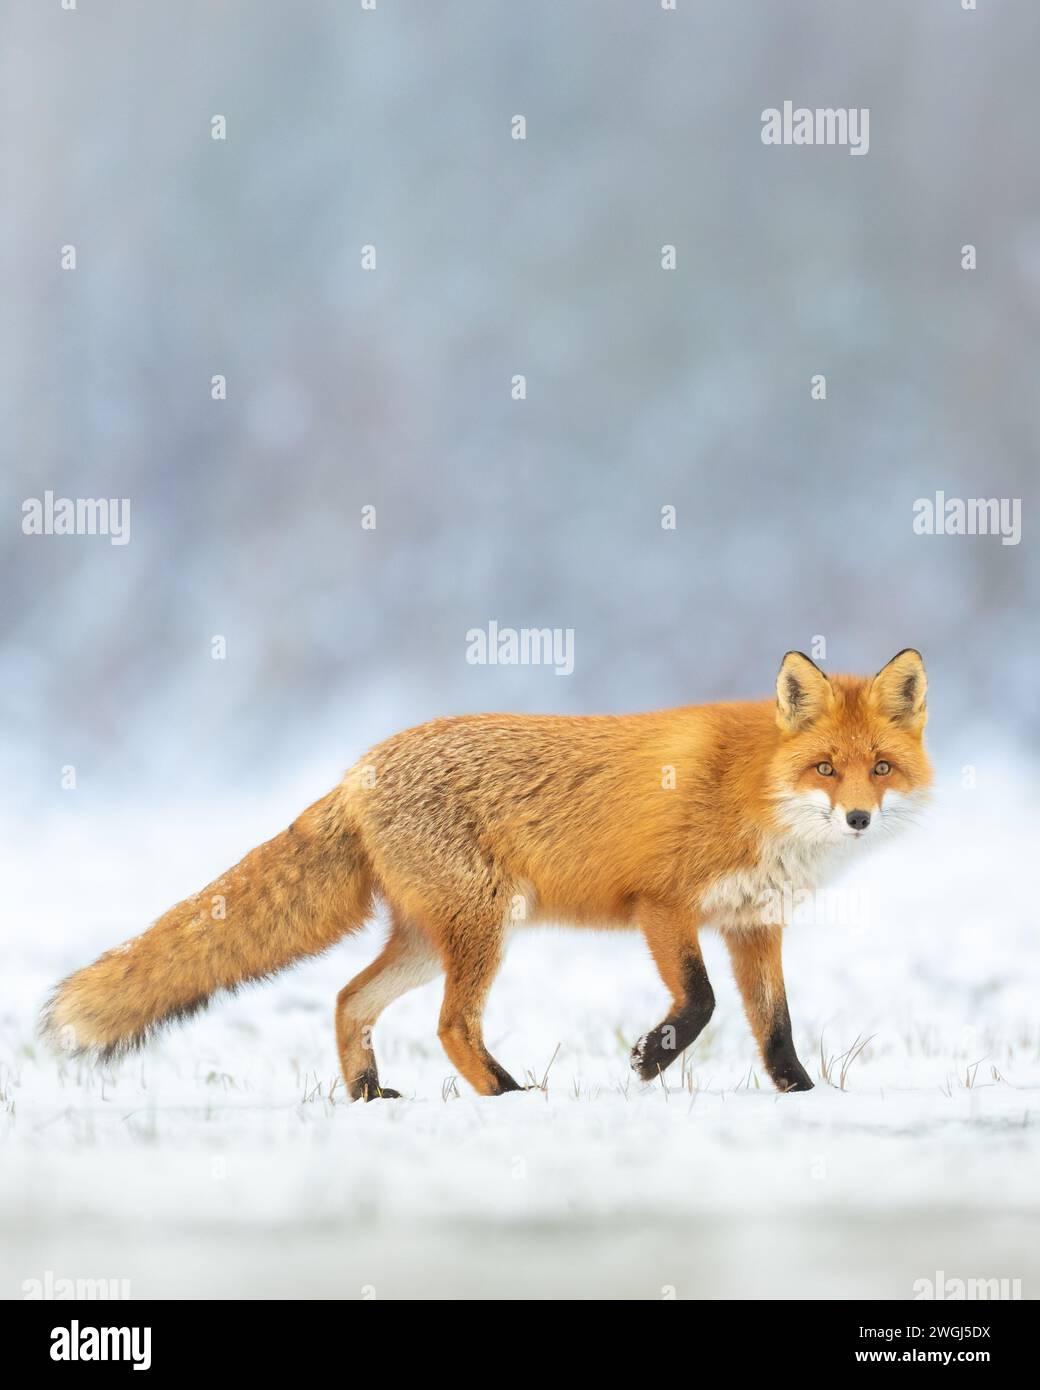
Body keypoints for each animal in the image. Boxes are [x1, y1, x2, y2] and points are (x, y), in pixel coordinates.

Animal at [44, 650, 928, 1095]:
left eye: (880, 768)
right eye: (825, 768)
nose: (858, 818)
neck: (751, 788)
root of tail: (359, 768)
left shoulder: (752, 921)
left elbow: (774, 1026)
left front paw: (801, 1097)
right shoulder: (661, 904)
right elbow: (703, 1003)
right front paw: (650, 1060)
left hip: (429, 939)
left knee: (347, 1000)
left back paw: (368, 1095)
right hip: (482, 929)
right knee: (447, 1025)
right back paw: (507, 1095)